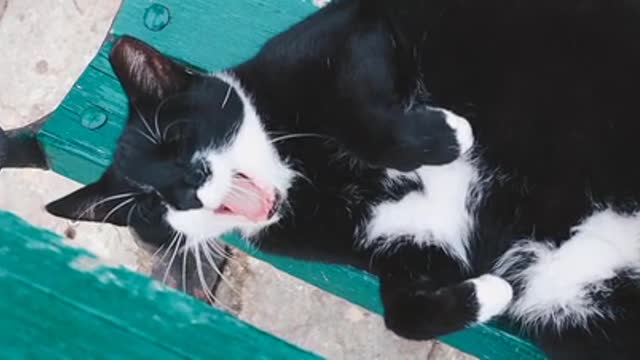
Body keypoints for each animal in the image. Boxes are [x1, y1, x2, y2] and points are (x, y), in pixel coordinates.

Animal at [38, 1, 640, 358]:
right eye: (144, 207)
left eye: (176, 139)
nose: (185, 190)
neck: (307, 180)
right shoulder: (414, 250)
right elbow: (404, 314)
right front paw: (492, 291)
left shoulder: (349, 34)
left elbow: (360, 108)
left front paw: (451, 137)